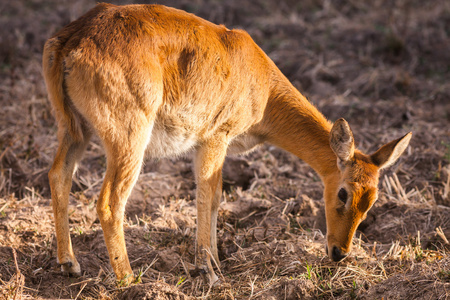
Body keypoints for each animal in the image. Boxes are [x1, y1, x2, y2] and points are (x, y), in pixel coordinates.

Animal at [43, 4, 412, 286]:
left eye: (372, 200)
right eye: (343, 193)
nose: (339, 252)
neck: (262, 84)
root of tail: (72, 39)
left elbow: (215, 199)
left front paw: (216, 261)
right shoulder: (214, 140)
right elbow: (209, 196)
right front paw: (207, 269)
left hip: (74, 130)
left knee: (58, 175)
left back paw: (68, 263)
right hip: (128, 139)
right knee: (108, 201)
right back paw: (128, 278)